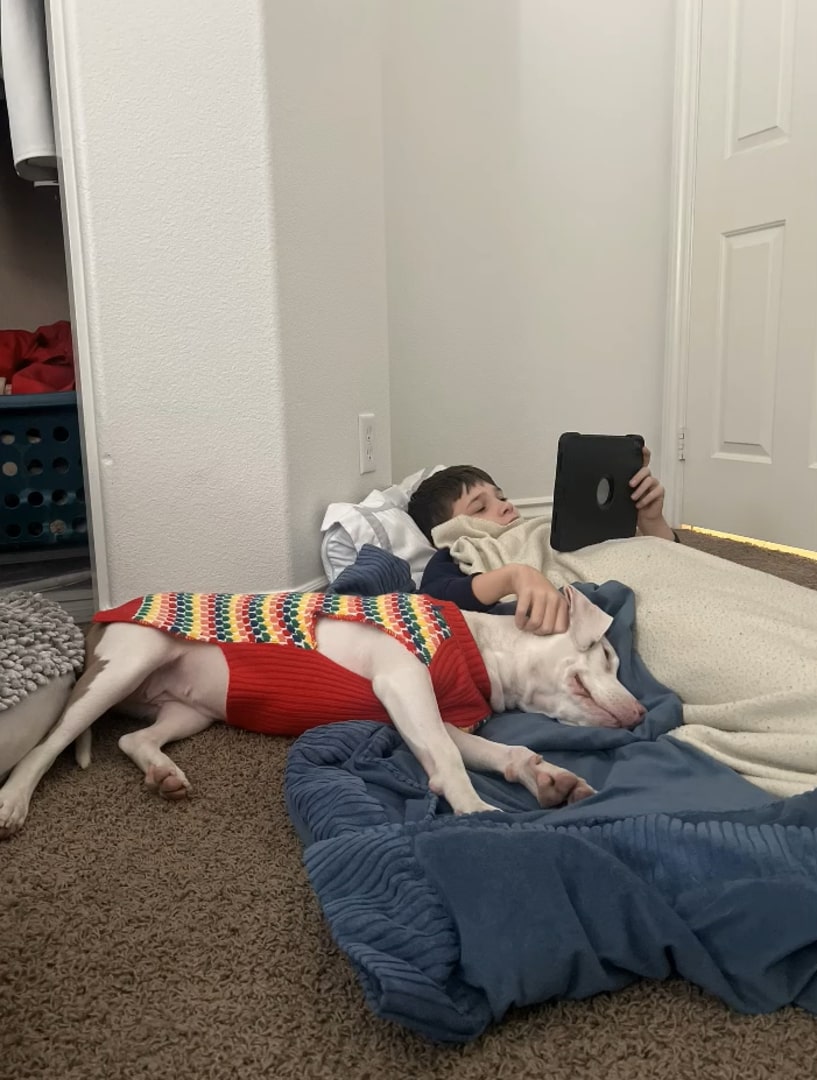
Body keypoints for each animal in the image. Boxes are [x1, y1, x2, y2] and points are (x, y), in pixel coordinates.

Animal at [0, 587, 644, 838]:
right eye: (609, 654)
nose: (641, 714)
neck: (483, 653)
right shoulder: (404, 682)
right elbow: (446, 759)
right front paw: (474, 811)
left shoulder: (434, 716)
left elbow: (498, 750)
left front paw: (547, 777)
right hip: (128, 663)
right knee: (49, 742)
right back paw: (14, 800)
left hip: (190, 710)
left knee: (134, 740)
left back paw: (164, 775)